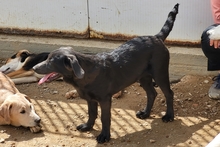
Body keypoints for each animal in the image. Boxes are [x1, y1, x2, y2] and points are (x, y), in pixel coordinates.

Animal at [33, 3, 180, 144]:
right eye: (47, 58)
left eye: (51, 62)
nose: (34, 68)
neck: (86, 73)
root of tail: (156, 37)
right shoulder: (90, 99)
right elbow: (91, 114)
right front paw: (88, 126)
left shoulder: (105, 99)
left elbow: (104, 118)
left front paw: (104, 136)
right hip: (143, 77)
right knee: (152, 93)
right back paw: (145, 113)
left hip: (160, 74)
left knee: (169, 93)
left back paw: (169, 116)